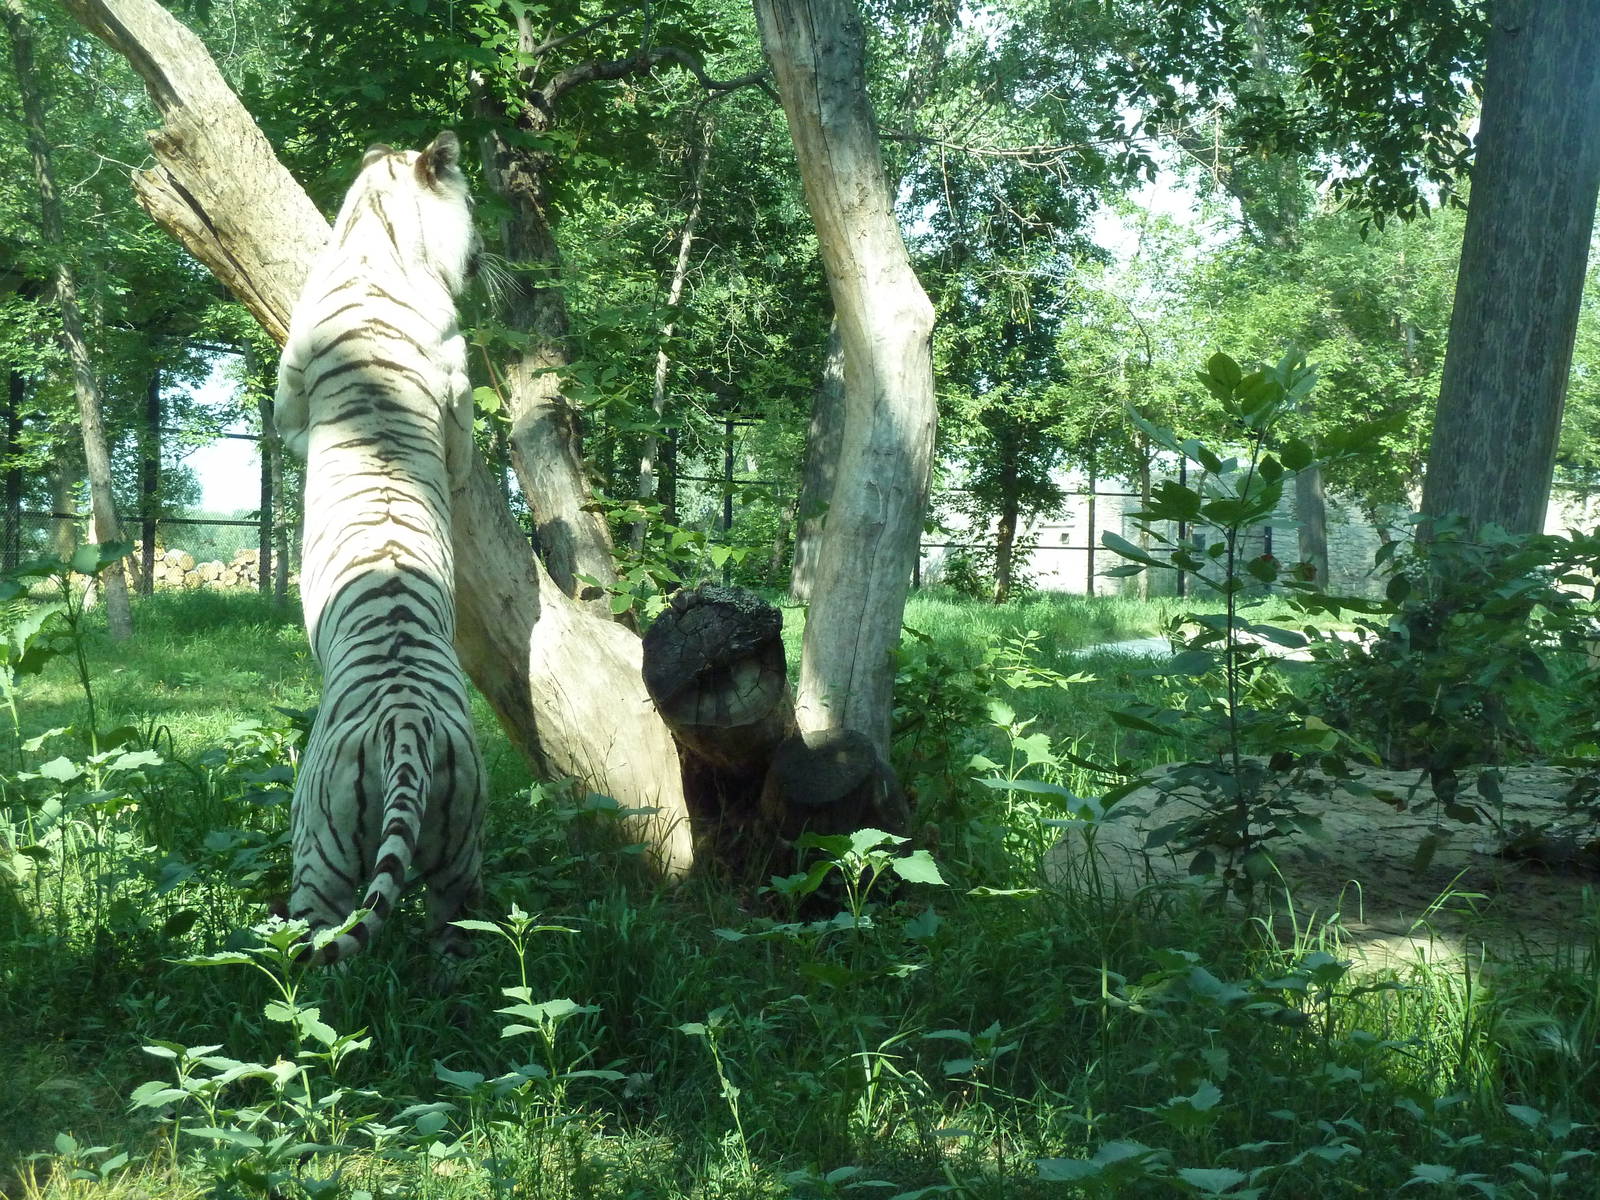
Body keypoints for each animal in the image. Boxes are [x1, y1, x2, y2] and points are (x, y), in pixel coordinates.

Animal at [273, 131, 486, 967]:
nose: (484, 256)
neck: (375, 241)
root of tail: (406, 720)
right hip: (459, 858)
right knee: (458, 935)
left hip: (318, 856)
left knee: (312, 947)